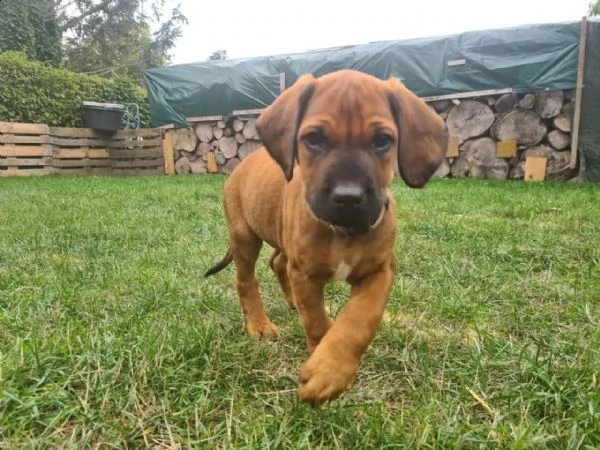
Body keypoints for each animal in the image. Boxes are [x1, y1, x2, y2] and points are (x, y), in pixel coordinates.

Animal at [204, 68, 448, 406]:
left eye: (383, 141)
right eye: (314, 139)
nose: (348, 197)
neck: (343, 233)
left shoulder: (380, 271)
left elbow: (360, 319)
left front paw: (331, 369)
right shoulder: (306, 274)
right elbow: (317, 322)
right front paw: (323, 367)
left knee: (277, 261)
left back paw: (289, 302)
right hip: (244, 236)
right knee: (245, 279)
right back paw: (259, 325)